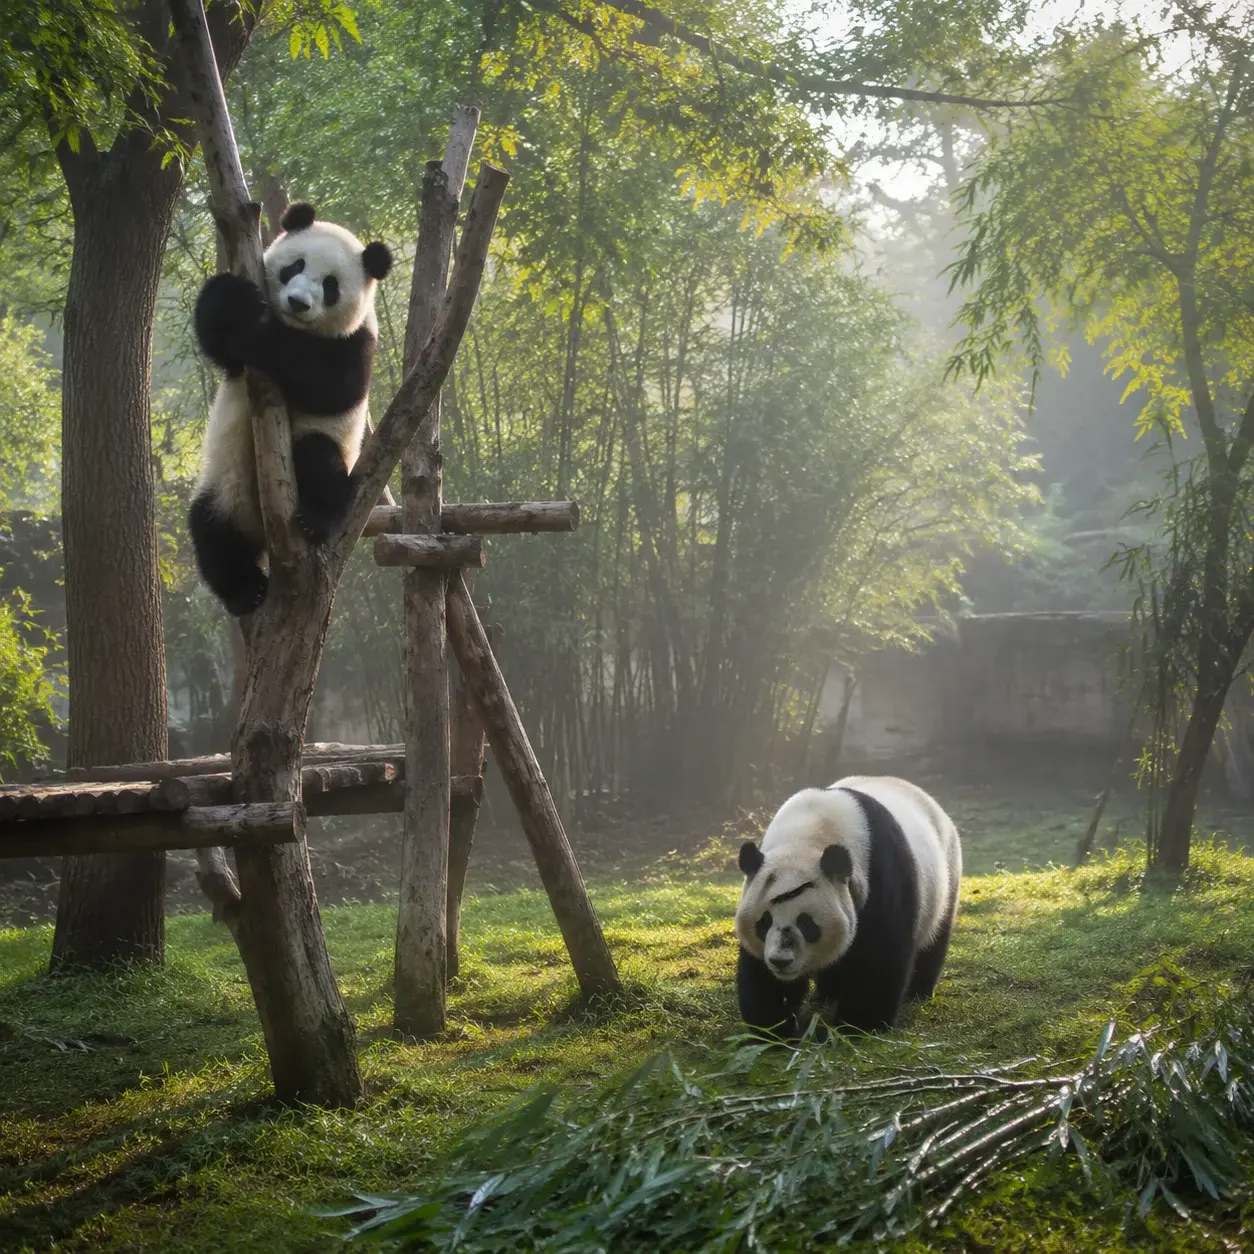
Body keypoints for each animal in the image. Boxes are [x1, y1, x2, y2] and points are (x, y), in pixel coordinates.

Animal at [188, 201, 393, 616]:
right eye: (295, 266)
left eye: (330, 286)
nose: (298, 303)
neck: (297, 327)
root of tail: (263, 532)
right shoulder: (233, 364)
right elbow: (215, 335)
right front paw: (237, 300)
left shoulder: (358, 341)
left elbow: (331, 386)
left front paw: (261, 336)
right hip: (225, 489)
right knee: (213, 533)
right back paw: (245, 592)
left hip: (325, 448)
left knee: (318, 460)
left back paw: (315, 518)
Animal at [734, 775, 961, 1039]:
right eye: (764, 921)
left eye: (806, 923)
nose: (781, 961)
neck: (806, 836)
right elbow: (762, 973)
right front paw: (772, 1030)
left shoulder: (880, 873)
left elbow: (880, 953)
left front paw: (859, 1025)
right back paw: (825, 994)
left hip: (946, 872)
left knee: (934, 937)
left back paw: (918, 992)